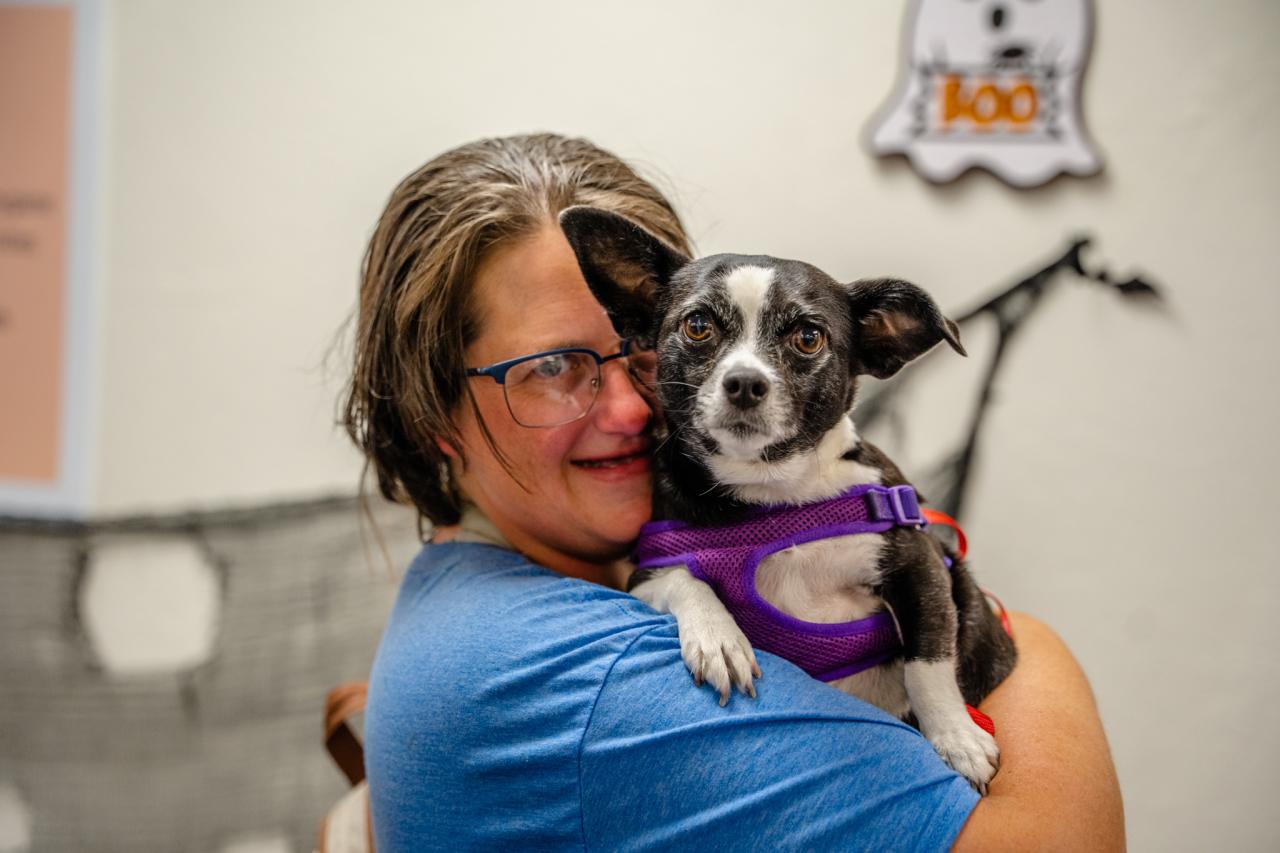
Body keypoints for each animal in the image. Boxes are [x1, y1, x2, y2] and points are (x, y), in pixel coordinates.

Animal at [560, 207, 1018, 788]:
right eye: (697, 325)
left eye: (808, 337)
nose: (744, 382)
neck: (774, 496)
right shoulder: (646, 575)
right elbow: (687, 581)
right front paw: (719, 639)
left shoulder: (919, 564)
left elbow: (929, 660)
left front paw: (956, 738)